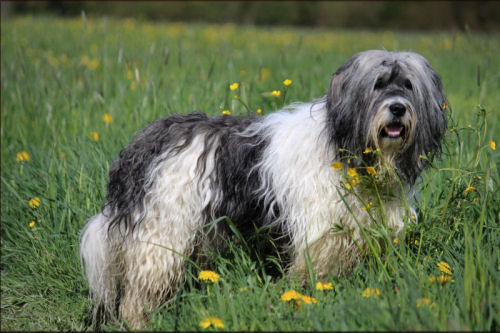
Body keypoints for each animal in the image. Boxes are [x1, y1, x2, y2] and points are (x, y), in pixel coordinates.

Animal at [80, 49, 448, 326]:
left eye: (408, 85)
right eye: (378, 85)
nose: (397, 108)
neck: (347, 153)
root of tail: (143, 144)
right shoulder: (319, 235)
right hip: (161, 232)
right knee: (140, 291)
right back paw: (139, 322)